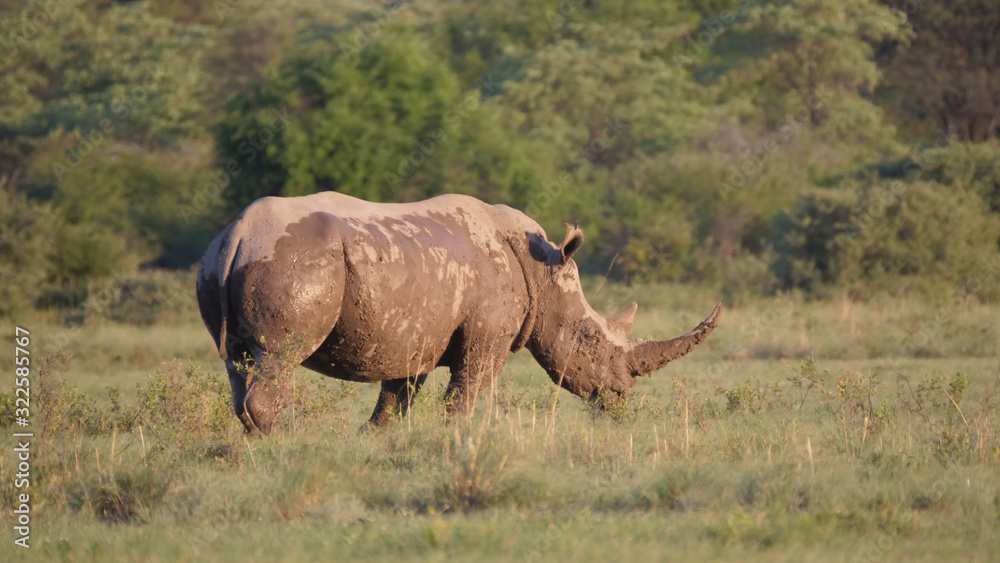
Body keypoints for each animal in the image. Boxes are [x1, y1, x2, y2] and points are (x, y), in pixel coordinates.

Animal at [196, 192, 720, 432]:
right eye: (589, 339)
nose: (620, 395)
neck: (543, 271)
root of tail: (239, 233)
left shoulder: (409, 332)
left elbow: (396, 398)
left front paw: (378, 439)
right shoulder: (488, 336)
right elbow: (466, 392)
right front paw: (455, 439)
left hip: (221, 262)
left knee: (238, 362)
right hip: (297, 260)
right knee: (279, 357)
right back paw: (290, 440)